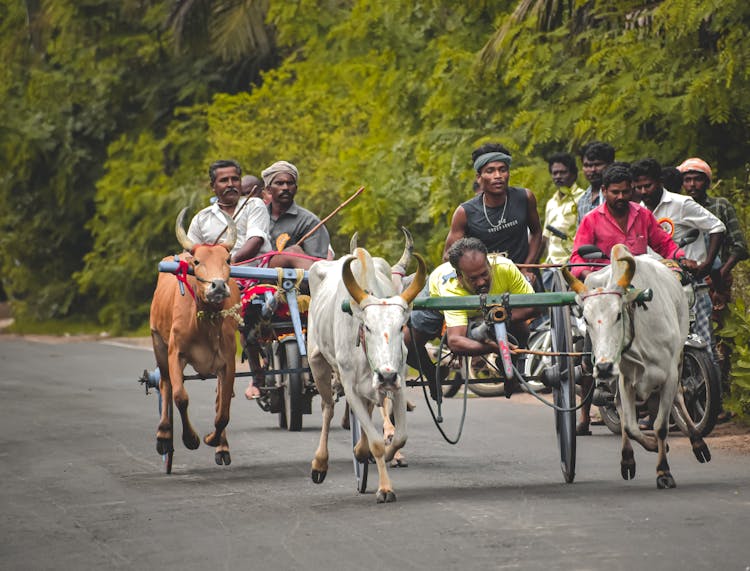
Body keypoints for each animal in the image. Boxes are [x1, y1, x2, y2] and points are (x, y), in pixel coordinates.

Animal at [148, 208, 239, 466]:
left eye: (227, 260)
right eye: (197, 262)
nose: (218, 286)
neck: (204, 323)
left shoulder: (227, 363)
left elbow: (223, 410)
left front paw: (213, 440)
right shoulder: (175, 354)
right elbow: (180, 396)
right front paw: (191, 439)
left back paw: (222, 447)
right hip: (158, 343)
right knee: (165, 384)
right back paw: (164, 435)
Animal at [310, 248, 428, 502]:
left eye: (401, 327)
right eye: (368, 327)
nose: (386, 376)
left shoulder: (398, 383)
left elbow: (399, 436)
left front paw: (389, 454)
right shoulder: (350, 387)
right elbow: (375, 443)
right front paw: (385, 488)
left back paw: (360, 450)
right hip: (317, 362)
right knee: (327, 408)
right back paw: (320, 463)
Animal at [568, 244, 712, 490]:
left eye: (618, 315)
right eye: (586, 319)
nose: (603, 367)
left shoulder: (669, 376)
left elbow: (661, 425)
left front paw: (664, 472)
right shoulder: (626, 380)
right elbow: (630, 426)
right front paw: (647, 451)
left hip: (679, 358)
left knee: (679, 397)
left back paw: (697, 442)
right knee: (619, 408)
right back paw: (629, 457)